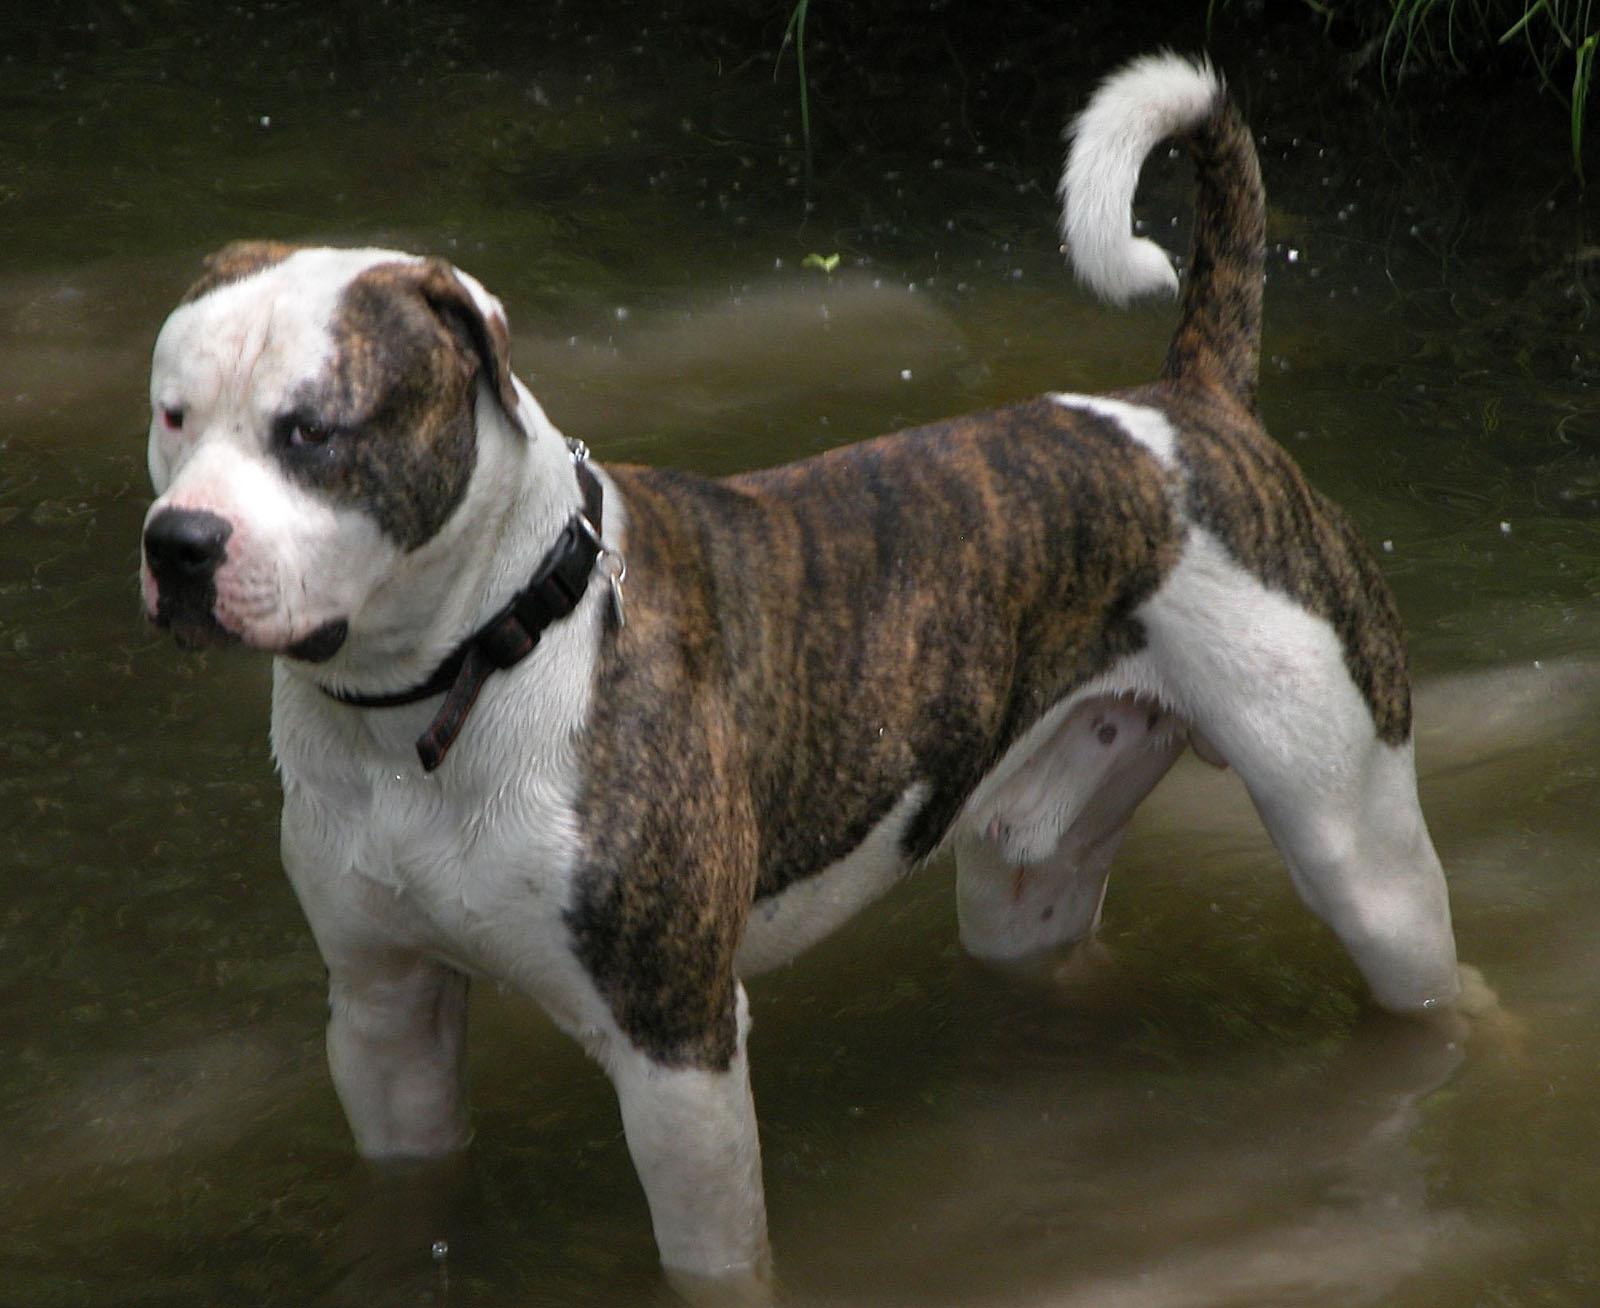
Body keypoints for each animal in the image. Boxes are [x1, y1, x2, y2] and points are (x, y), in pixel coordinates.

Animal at [144, 53, 1465, 1292]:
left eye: (314, 430)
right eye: (171, 415)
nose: (179, 543)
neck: (461, 673)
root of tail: (1188, 409)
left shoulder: (675, 1049)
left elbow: (713, 1262)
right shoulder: (386, 1017)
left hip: (1358, 847)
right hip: (1026, 870)